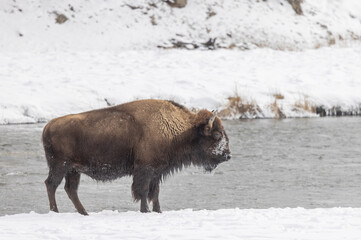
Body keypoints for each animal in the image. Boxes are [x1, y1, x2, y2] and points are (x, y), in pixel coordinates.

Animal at [42, 98, 231, 215]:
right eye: (216, 135)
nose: (227, 155)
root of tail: (48, 126)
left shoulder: (157, 172)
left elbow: (154, 192)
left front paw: (158, 211)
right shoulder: (145, 169)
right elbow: (143, 191)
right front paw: (145, 211)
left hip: (74, 170)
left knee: (70, 189)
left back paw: (84, 213)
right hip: (60, 166)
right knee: (51, 184)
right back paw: (55, 211)